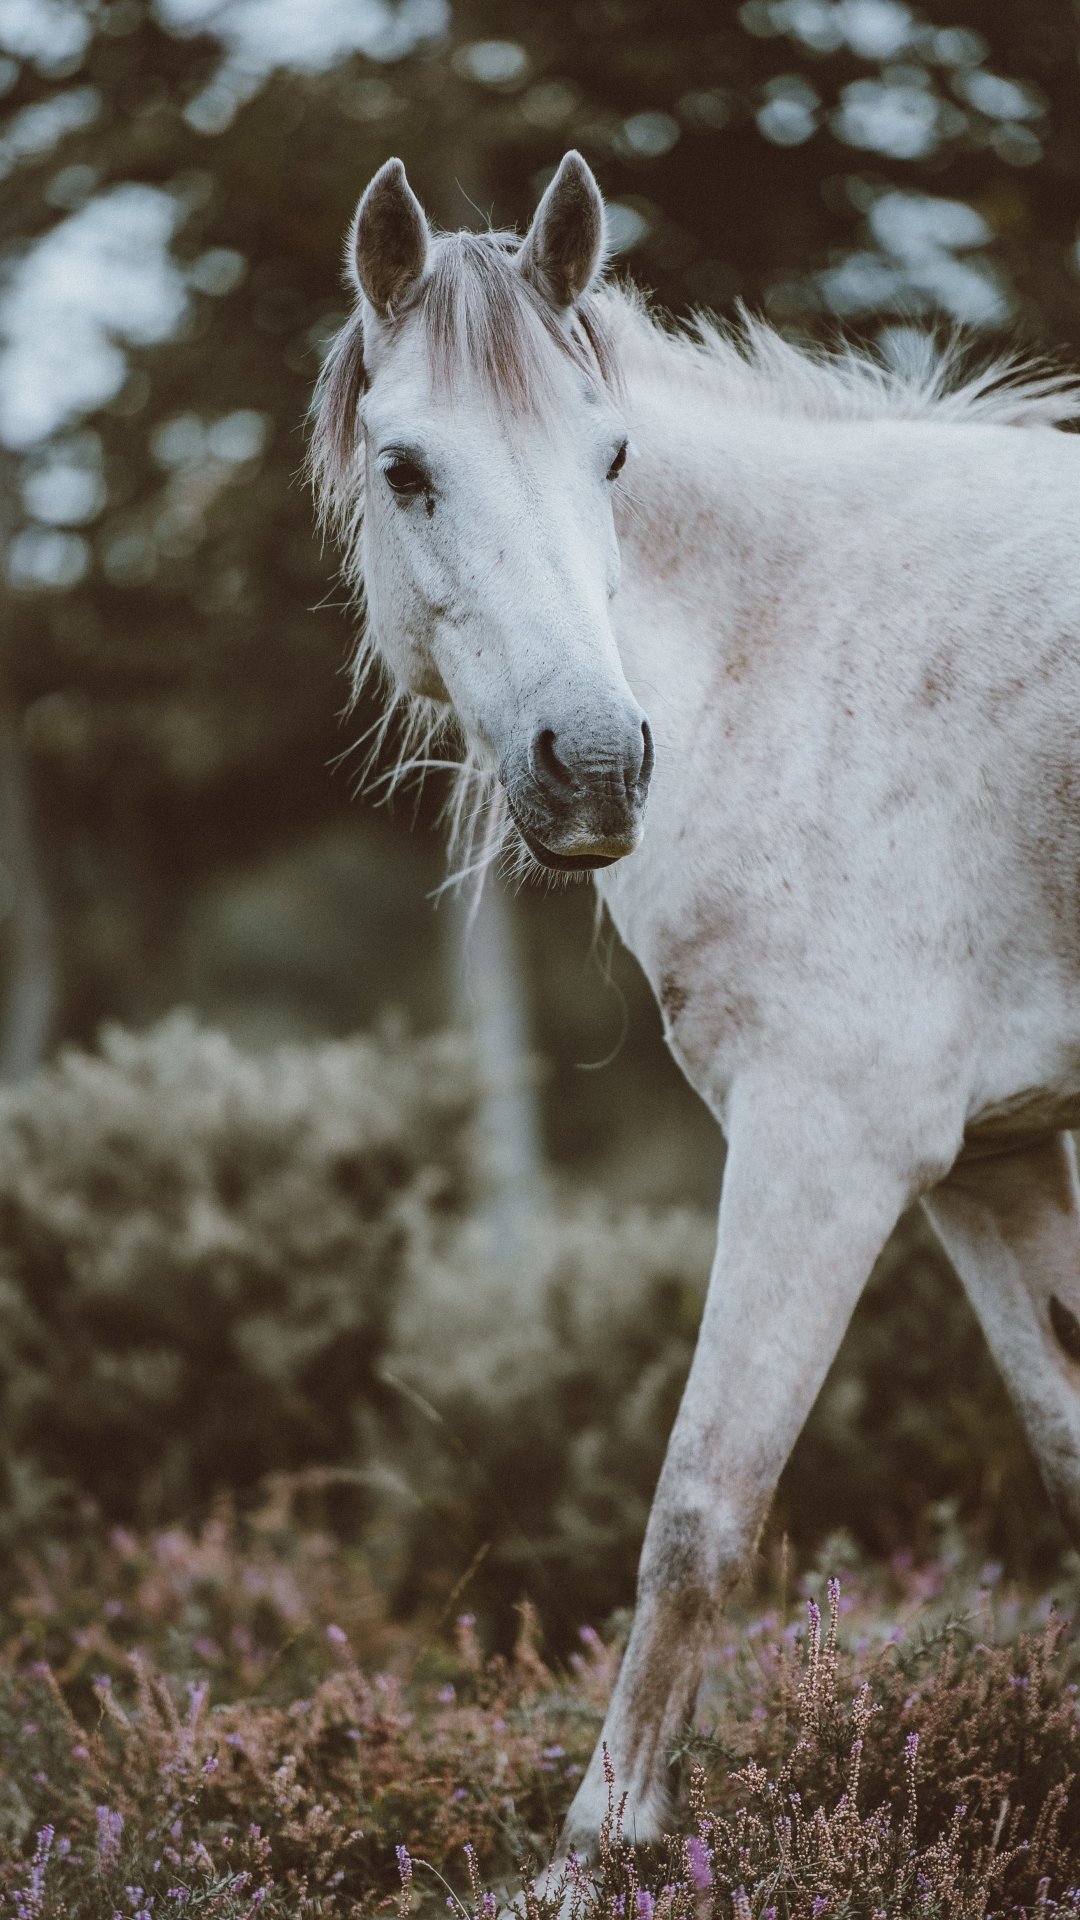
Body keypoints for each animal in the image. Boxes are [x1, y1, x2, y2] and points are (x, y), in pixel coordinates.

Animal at [310, 149, 1080, 1864]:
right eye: (408, 471)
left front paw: (596, 1850)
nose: (596, 764)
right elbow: (1072, 1448)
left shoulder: (827, 1144)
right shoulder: (997, 1159)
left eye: (611, 457)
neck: (795, 650)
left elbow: (699, 1509)